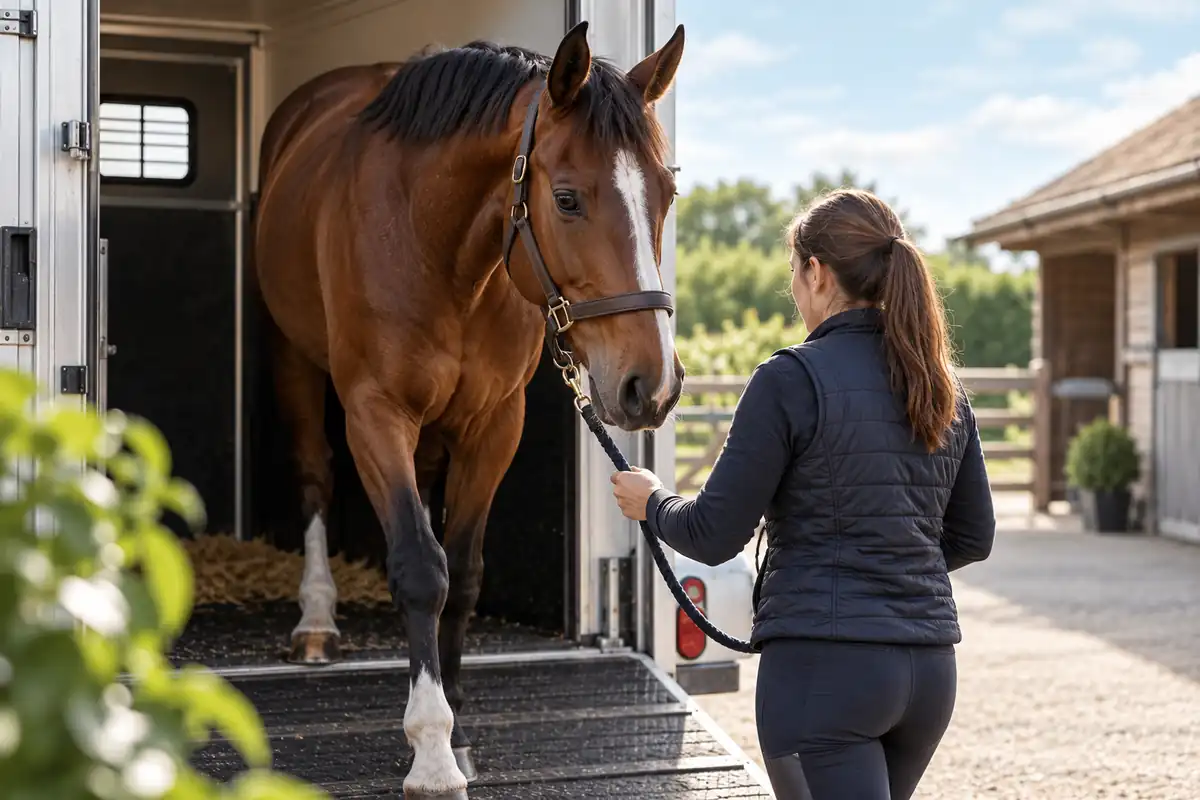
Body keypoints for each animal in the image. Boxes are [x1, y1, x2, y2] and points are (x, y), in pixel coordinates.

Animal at [253, 21, 687, 799]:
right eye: (567, 199)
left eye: (665, 193)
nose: (653, 386)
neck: (435, 241)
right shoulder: (375, 413)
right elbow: (422, 570)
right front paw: (430, 751)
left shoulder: (493, 426)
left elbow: (461, 572)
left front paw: (453, 729)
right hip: (294, 361)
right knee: (313, 477)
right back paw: (317, 619)